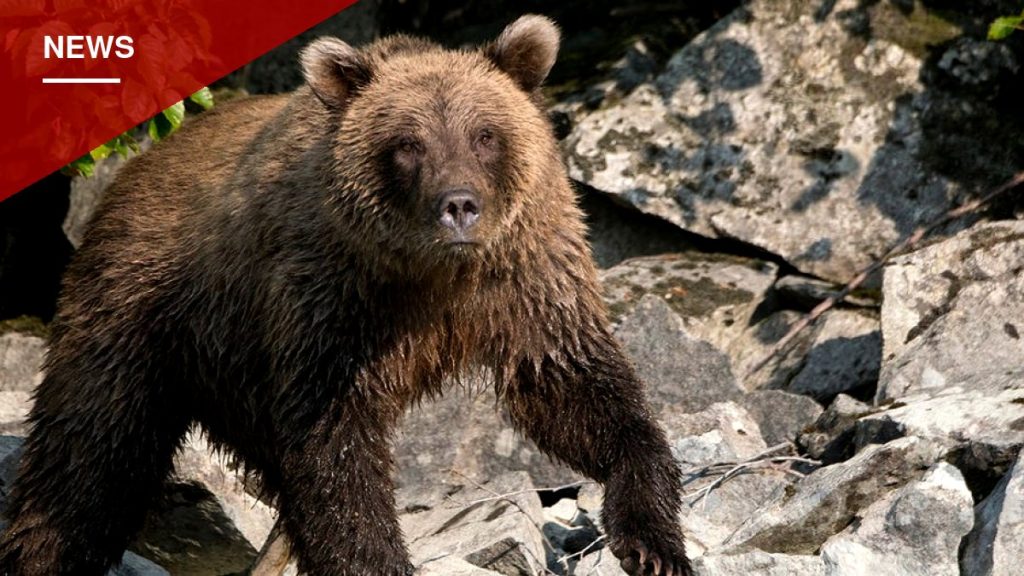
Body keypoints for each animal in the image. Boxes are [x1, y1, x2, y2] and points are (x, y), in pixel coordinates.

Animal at [0, 15, 690, 576]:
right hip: (141, 307)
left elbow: (574, 386)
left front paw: (652, 543)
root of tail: (138, 168)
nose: (458, 205)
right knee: (91, 452)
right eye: (408, 144)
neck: (432, 275)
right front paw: (375, 558)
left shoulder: (525, 278)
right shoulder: (330, 301)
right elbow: (335, 451)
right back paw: (48, 548)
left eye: (484, 135)